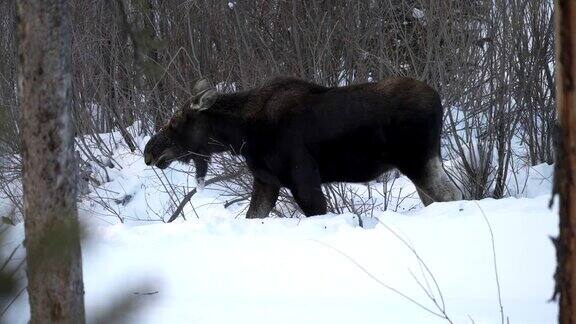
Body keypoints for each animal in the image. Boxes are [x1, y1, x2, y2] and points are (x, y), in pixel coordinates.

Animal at [145, 77, 464, 218]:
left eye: (176, 121)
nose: (150, 150)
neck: (241, 134)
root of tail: (438, 99)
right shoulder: (266, 181)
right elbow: (254, 215)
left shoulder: (303, 180)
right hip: (421, 161)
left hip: (417, 159)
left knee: (451, 194)